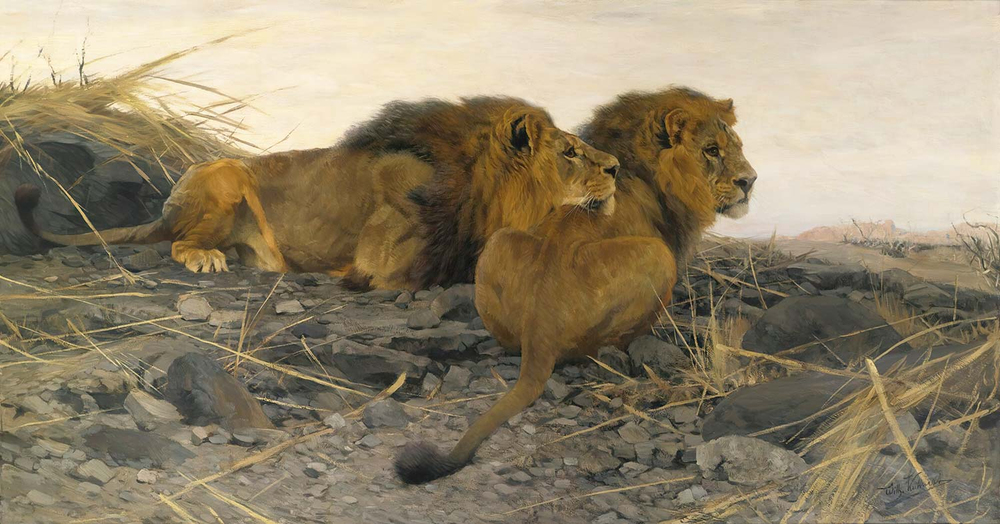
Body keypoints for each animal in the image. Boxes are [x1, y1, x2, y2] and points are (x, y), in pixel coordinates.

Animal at [15, 97, 619, 291]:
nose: (617, 168)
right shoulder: (385, 263)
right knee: (176, 242)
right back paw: (210, 257)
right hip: (226, 177)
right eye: (570, 152)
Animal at [394, 87, 757, 484]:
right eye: (712, 150)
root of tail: (542, 318)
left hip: (500, 242)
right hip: (657, 257)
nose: (750, 181)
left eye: (738, 146)